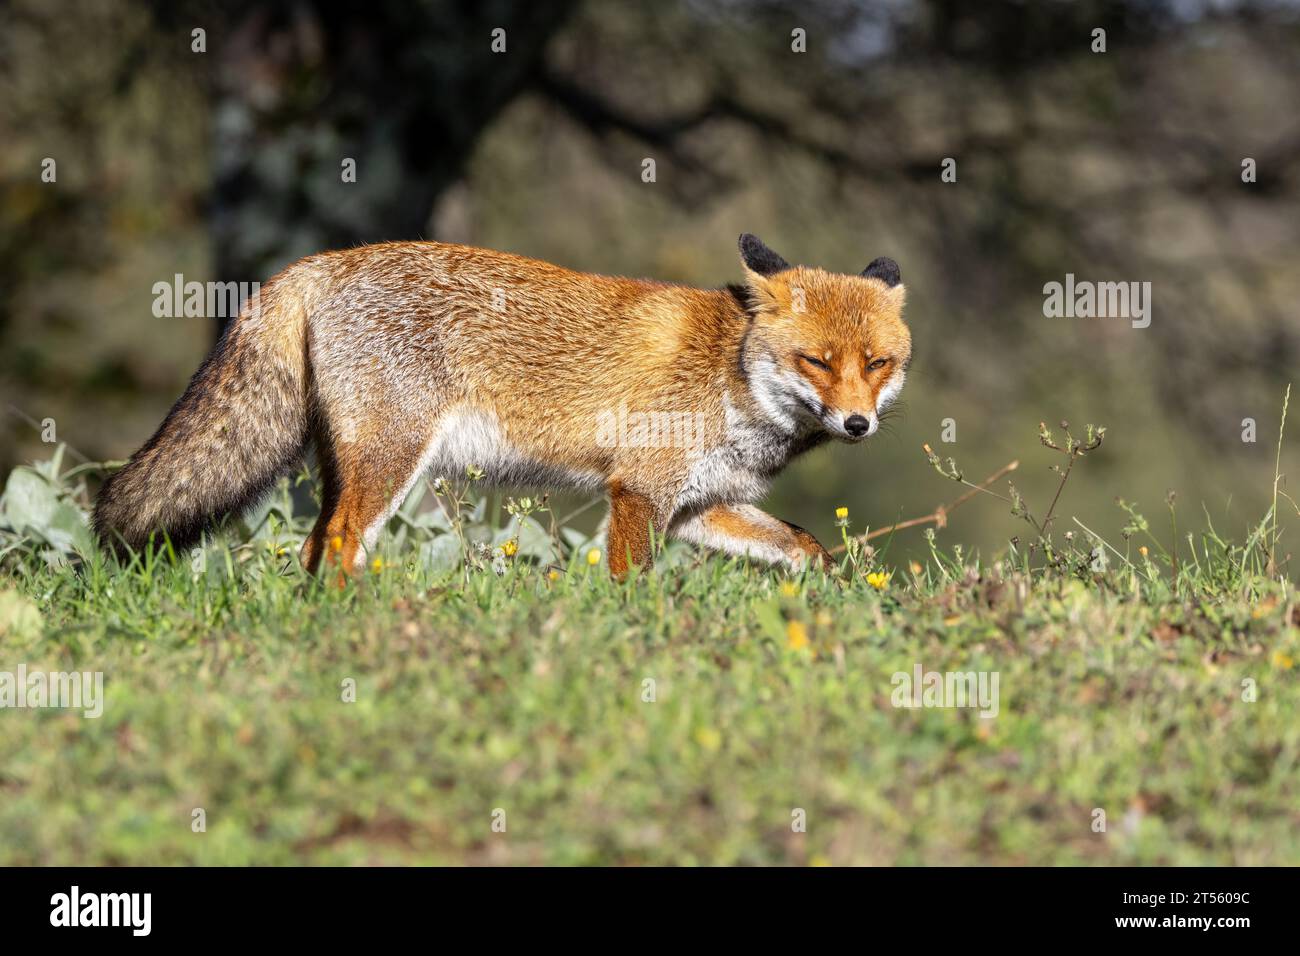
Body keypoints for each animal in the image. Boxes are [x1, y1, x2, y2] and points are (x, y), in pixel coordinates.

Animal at [93, 234, 911, 578]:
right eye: (816, 362)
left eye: (877, 364)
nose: (858, 423)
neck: (730, 374)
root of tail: (321, 261)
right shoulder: (639, 490)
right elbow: (631, 584)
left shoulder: (697, 505)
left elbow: (807, 545)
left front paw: (831, 599)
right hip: (391, 460)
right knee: (338, 544)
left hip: (346, 465)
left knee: (313, 546)